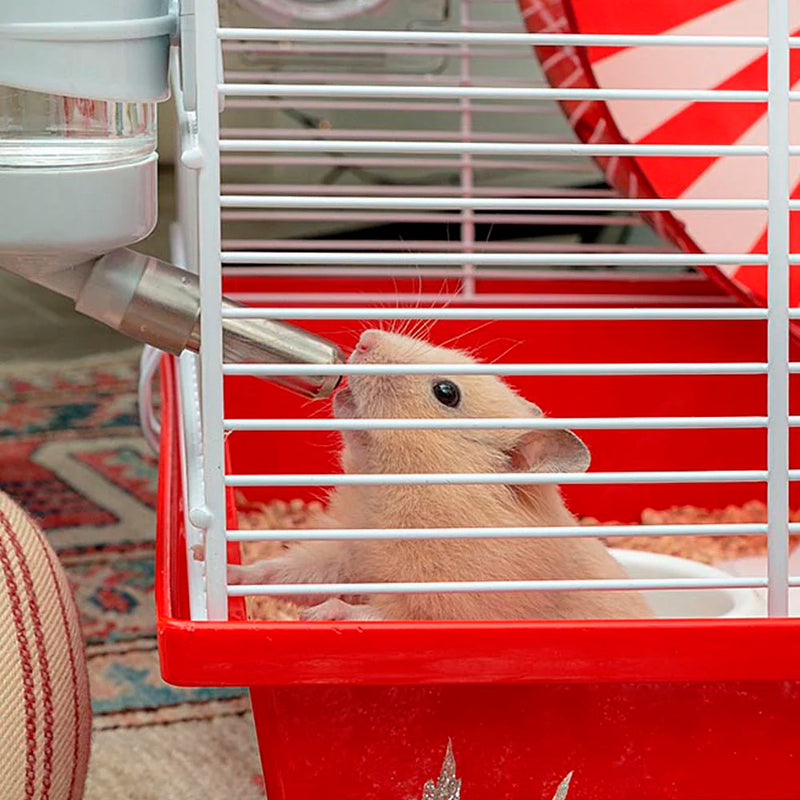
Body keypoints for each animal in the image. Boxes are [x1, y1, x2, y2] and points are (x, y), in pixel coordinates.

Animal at [231, 328, 654, 621]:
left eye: (446, 392)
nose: (365, 340)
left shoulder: (441, 601)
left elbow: (379, 612)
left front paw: (319, 614)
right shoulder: (346, 555)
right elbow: (285, 572)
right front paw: (228, 570)